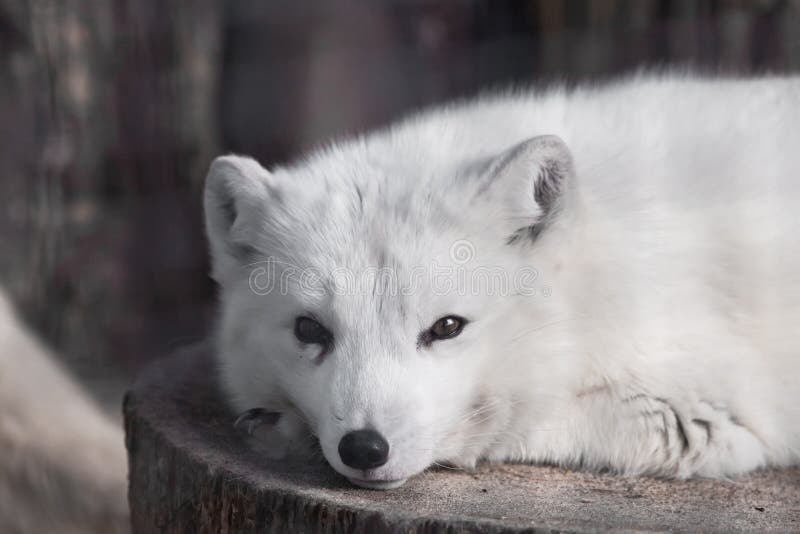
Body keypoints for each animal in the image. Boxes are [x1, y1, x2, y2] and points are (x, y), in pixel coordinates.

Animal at [206, 74, 800, 490]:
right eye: (309, 330)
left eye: (447, 327)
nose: (364, 449)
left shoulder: (706, 419)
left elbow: (510, 423)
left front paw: (284, 431)